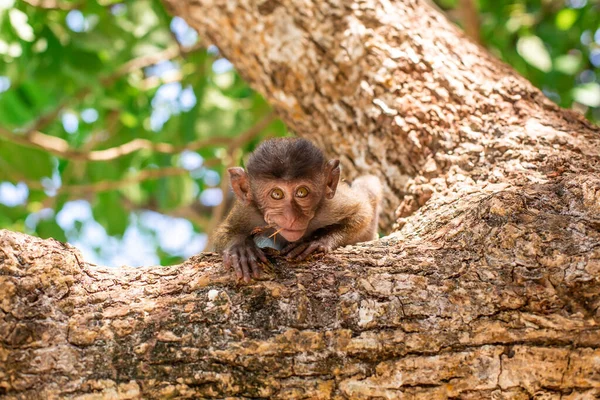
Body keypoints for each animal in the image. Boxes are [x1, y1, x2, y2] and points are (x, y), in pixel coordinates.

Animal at [213, 138, 382, 282]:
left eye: (302, 192)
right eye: (277, 194)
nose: (291, 216)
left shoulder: (331, 204)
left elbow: (362, 212)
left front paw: (317, 240)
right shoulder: (247, 210)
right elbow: (224, 231)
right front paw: (241, 248)